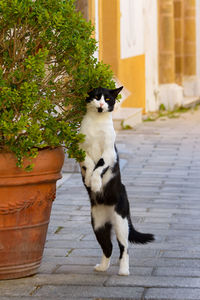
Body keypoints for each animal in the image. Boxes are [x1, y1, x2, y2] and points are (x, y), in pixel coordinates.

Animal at [79, 85, 154, 276]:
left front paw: (95, 182)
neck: (96, 124)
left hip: (121, 223)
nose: (101, 105)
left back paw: (124, 270)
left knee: (124, 248)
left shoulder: (109, 153)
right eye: (96, 97)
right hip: (98, 225)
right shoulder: (79, 149)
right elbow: (90, 163)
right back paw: (102, 267)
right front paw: (89, 179)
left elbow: (99, 167)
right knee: (108, 247)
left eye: (108, 99)